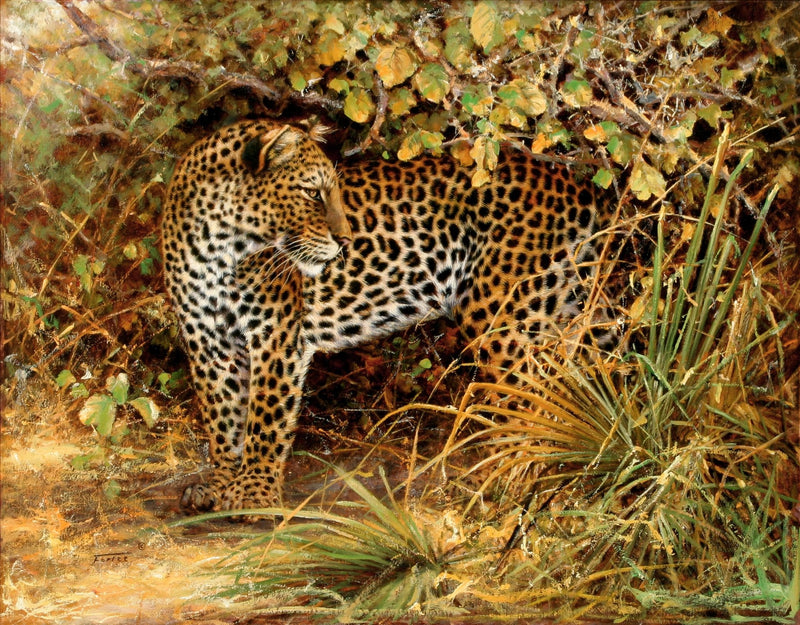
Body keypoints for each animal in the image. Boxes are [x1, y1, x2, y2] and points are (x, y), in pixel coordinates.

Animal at [162, 118, 615, 513]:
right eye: (313, 194)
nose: (345, 242)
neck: (220, 245)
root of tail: (576, 184)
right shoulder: (209, 345)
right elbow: (223, 417)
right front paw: (220, 485)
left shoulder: (275, 336)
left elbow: (265, 417)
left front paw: (253, 495)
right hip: (559, 302)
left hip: (504, 313)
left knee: (534, 397)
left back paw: (510, 479)